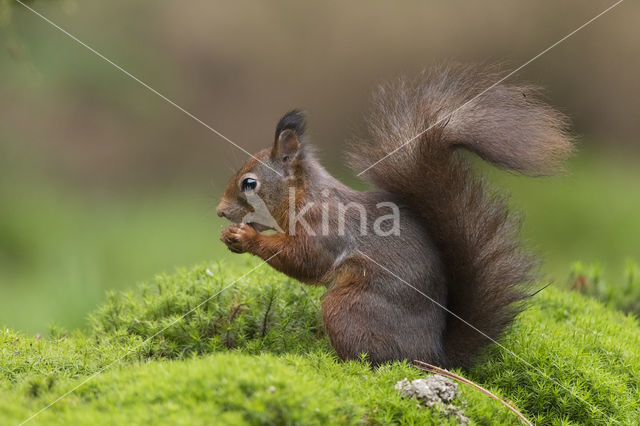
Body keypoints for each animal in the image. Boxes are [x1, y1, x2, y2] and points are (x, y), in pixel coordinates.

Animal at [216, 65, 576, 368]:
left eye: (250, 184)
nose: (220, 211)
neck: (304, 197)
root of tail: (433, 356)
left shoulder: (324, 227)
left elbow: (305, 260)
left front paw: (246, 237)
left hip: (348, 307)